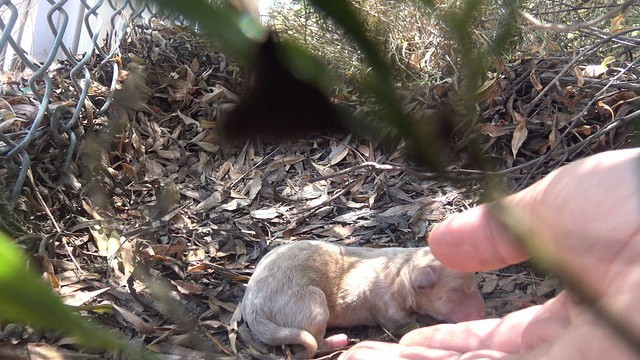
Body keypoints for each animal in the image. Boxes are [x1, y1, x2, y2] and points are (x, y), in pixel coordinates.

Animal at [241, 240, 484, 358]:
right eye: (457, 291)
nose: (482, 313)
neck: (402, 272)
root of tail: (252, 308)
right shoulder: (388, 309)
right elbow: (404, 321)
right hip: (310, 302)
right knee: (314, 342)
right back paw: (337, 340)